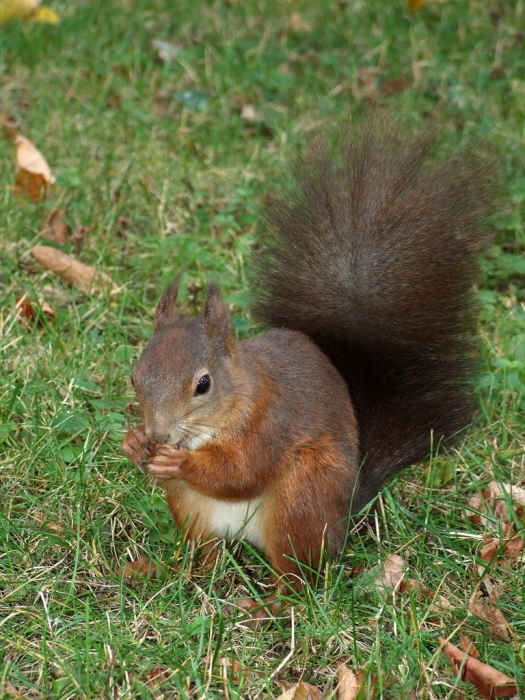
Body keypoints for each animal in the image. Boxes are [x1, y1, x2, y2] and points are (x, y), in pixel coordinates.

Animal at [123, 115, 496, 596]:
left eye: (203, 384)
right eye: (135, 377)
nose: (159, 434)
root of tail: (346, 510)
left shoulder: (269, 421)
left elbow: (241, 472)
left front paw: (179, 461)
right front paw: (134, 444)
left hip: (302, 496)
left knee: (300, 575)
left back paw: (267, 604)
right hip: (192, 511)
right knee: (205, 555)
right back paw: (172, 575)